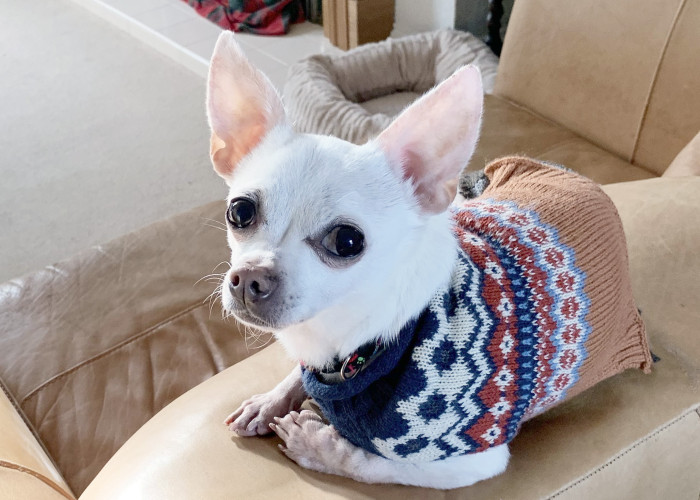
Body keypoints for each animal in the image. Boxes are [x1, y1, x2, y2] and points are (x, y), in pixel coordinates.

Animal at [206, 32, 651, 489]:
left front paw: (317, 444)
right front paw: (271, 400)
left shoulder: (470, 459)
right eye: (239, 212)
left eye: (346, 241)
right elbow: (299, 374)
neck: (350, 344)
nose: (250, 278)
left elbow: (371, 463)